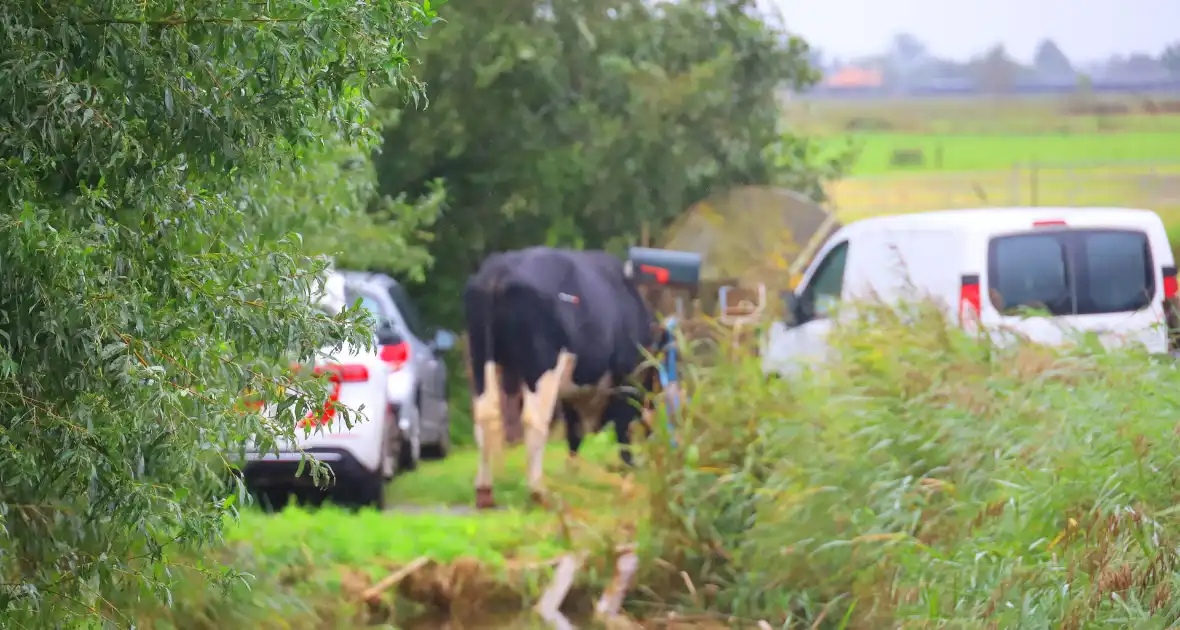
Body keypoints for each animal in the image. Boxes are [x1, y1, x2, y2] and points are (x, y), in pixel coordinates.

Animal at [462, 244, 665, 512]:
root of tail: (500, 270)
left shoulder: (571, 390)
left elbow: (574, 432)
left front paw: (573, 474)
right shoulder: (625, 376)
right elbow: (622, 427)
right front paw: (628, 470)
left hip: (481, 360)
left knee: (484, 416)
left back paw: (484, 491)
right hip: (542, 366)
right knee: (534, 420)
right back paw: (539, 492)